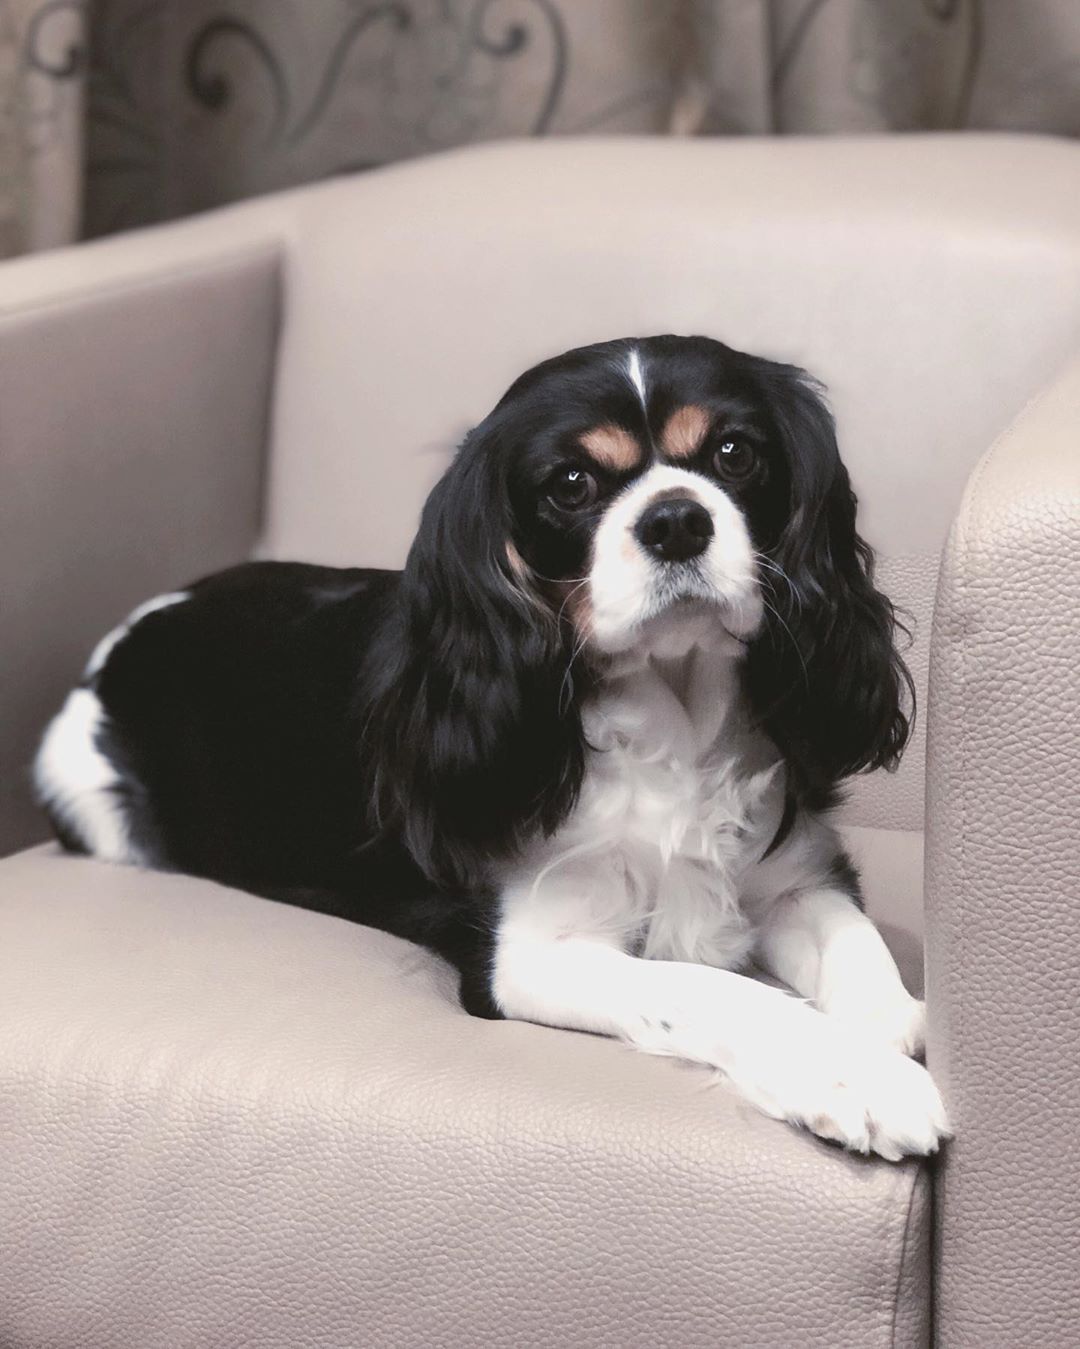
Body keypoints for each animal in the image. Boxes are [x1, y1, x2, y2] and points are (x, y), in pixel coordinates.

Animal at [35, 334, 943, 1160]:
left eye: (734, 453)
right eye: (570, 484)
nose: (677, 519)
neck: (675, 727)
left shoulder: (795, 879)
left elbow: (862, 960)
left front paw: (887, 1035)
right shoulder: (532, 955)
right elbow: (712, 992)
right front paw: (853, 1075)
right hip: (79, 783)